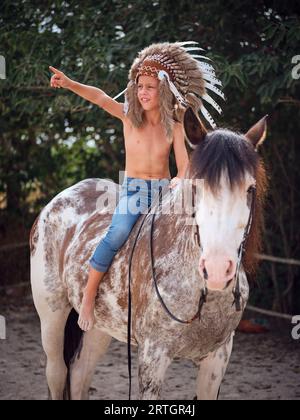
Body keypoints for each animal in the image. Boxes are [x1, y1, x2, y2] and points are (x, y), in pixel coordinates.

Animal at [29, 109, 268, 400]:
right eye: (196, 187)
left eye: (250, 189)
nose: (217, 269)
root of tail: (59, 200)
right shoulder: (153, 357)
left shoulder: (217, 360)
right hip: (52, 318)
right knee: (57, 372)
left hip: (98, 328)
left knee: (79, 374)